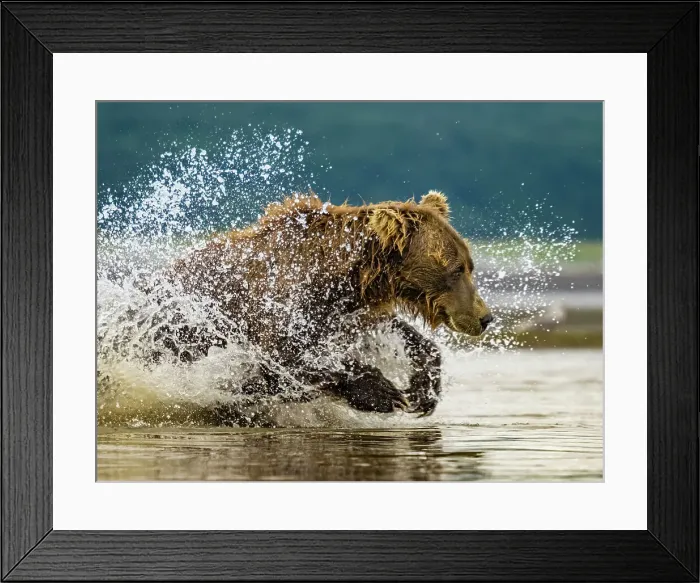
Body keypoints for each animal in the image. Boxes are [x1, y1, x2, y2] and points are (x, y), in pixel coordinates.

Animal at [153, 190, 493, 419]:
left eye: (470, 265)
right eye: (456, 269)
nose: (485, 317)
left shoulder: (348, 310)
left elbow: (393, 332)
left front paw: (423, 390)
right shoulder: (275, 306)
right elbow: (283, 358)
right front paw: (383, 392)